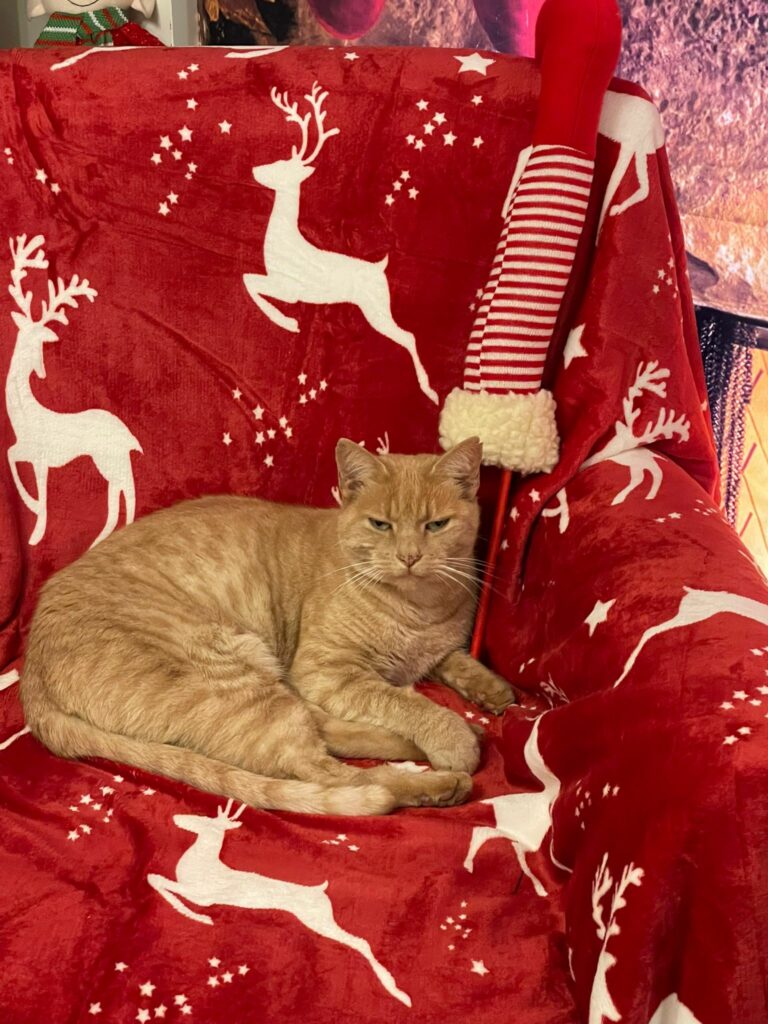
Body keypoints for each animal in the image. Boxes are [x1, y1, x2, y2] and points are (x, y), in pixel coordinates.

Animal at [21, 436, 516, 816]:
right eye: (381, 525)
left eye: (436, 525)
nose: (409, 556)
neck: (419, 608)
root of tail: (29, 678)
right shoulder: (327, 671)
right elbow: (405, 702)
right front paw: (448, 735)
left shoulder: (433, 650)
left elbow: (454, 661)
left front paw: (492, 692)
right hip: (238, 677)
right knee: (332, 772)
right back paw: (440, 778)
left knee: (324, 734)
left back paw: (456, 738)